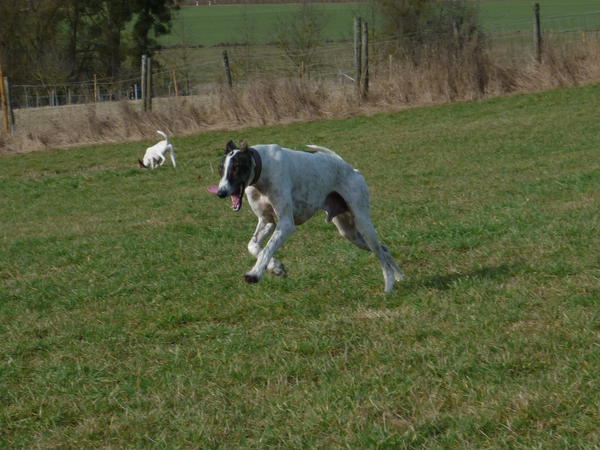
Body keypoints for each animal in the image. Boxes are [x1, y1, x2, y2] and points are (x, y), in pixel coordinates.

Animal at [207, 141, 408, 294]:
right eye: (220, 168)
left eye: (237, 167)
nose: (221, 192)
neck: (262, 170)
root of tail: (351, 168)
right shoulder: (267, 222)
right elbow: (253, 246)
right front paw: (276, 267)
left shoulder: (286, 224)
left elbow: (266, 249)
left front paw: (254, 274)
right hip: (350, 232)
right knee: (383, 249)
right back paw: (400, 276)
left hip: (363, 224)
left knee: (381, 254)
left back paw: (389, 286)